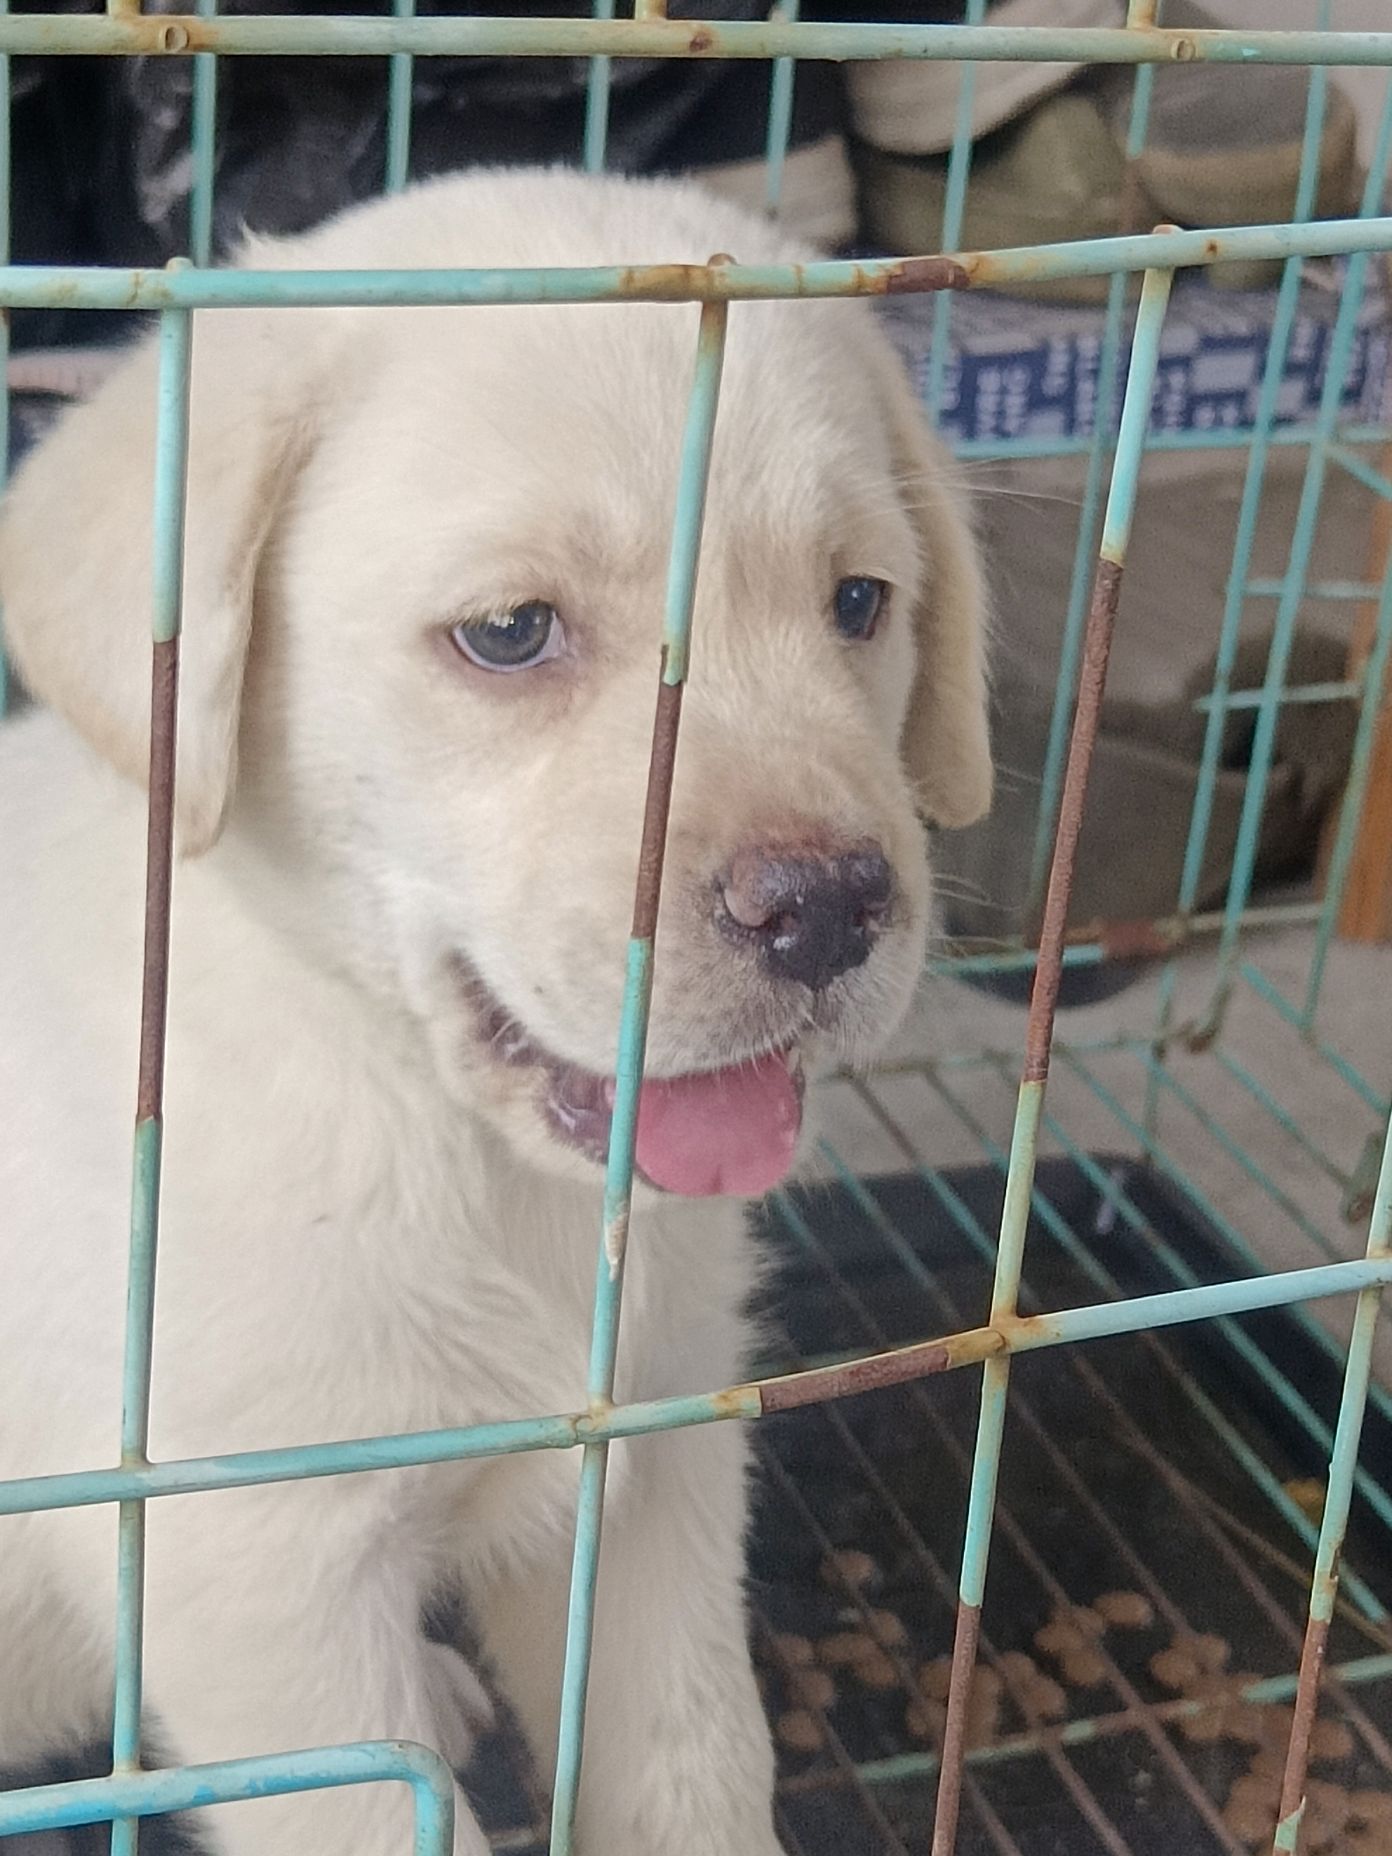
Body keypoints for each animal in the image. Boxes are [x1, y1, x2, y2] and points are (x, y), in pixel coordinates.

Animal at [0, 168, 990, 1855]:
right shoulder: (253, 1571)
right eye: (512, 634)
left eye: (860, 602)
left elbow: (695, 1764)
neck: (457, 1155)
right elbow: (374, 1810)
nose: (831, 908)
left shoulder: (653, 1469)